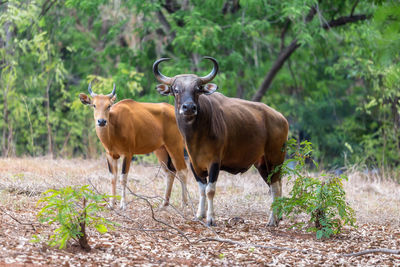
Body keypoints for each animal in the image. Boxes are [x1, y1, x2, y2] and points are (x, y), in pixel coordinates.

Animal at [152, 57, 288, 227]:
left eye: (197, 89)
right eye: (176, 89)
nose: (189, 107)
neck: (197, 135)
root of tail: (281, 118)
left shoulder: (214, 162)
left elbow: (210, 190)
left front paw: (211, 218)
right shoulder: (194, 163)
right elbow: (202, 189)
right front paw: (200, 215)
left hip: (274, 158)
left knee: (275, 187)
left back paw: (272, 220)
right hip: (262, 163)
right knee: (277, 185)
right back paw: (278, 217)